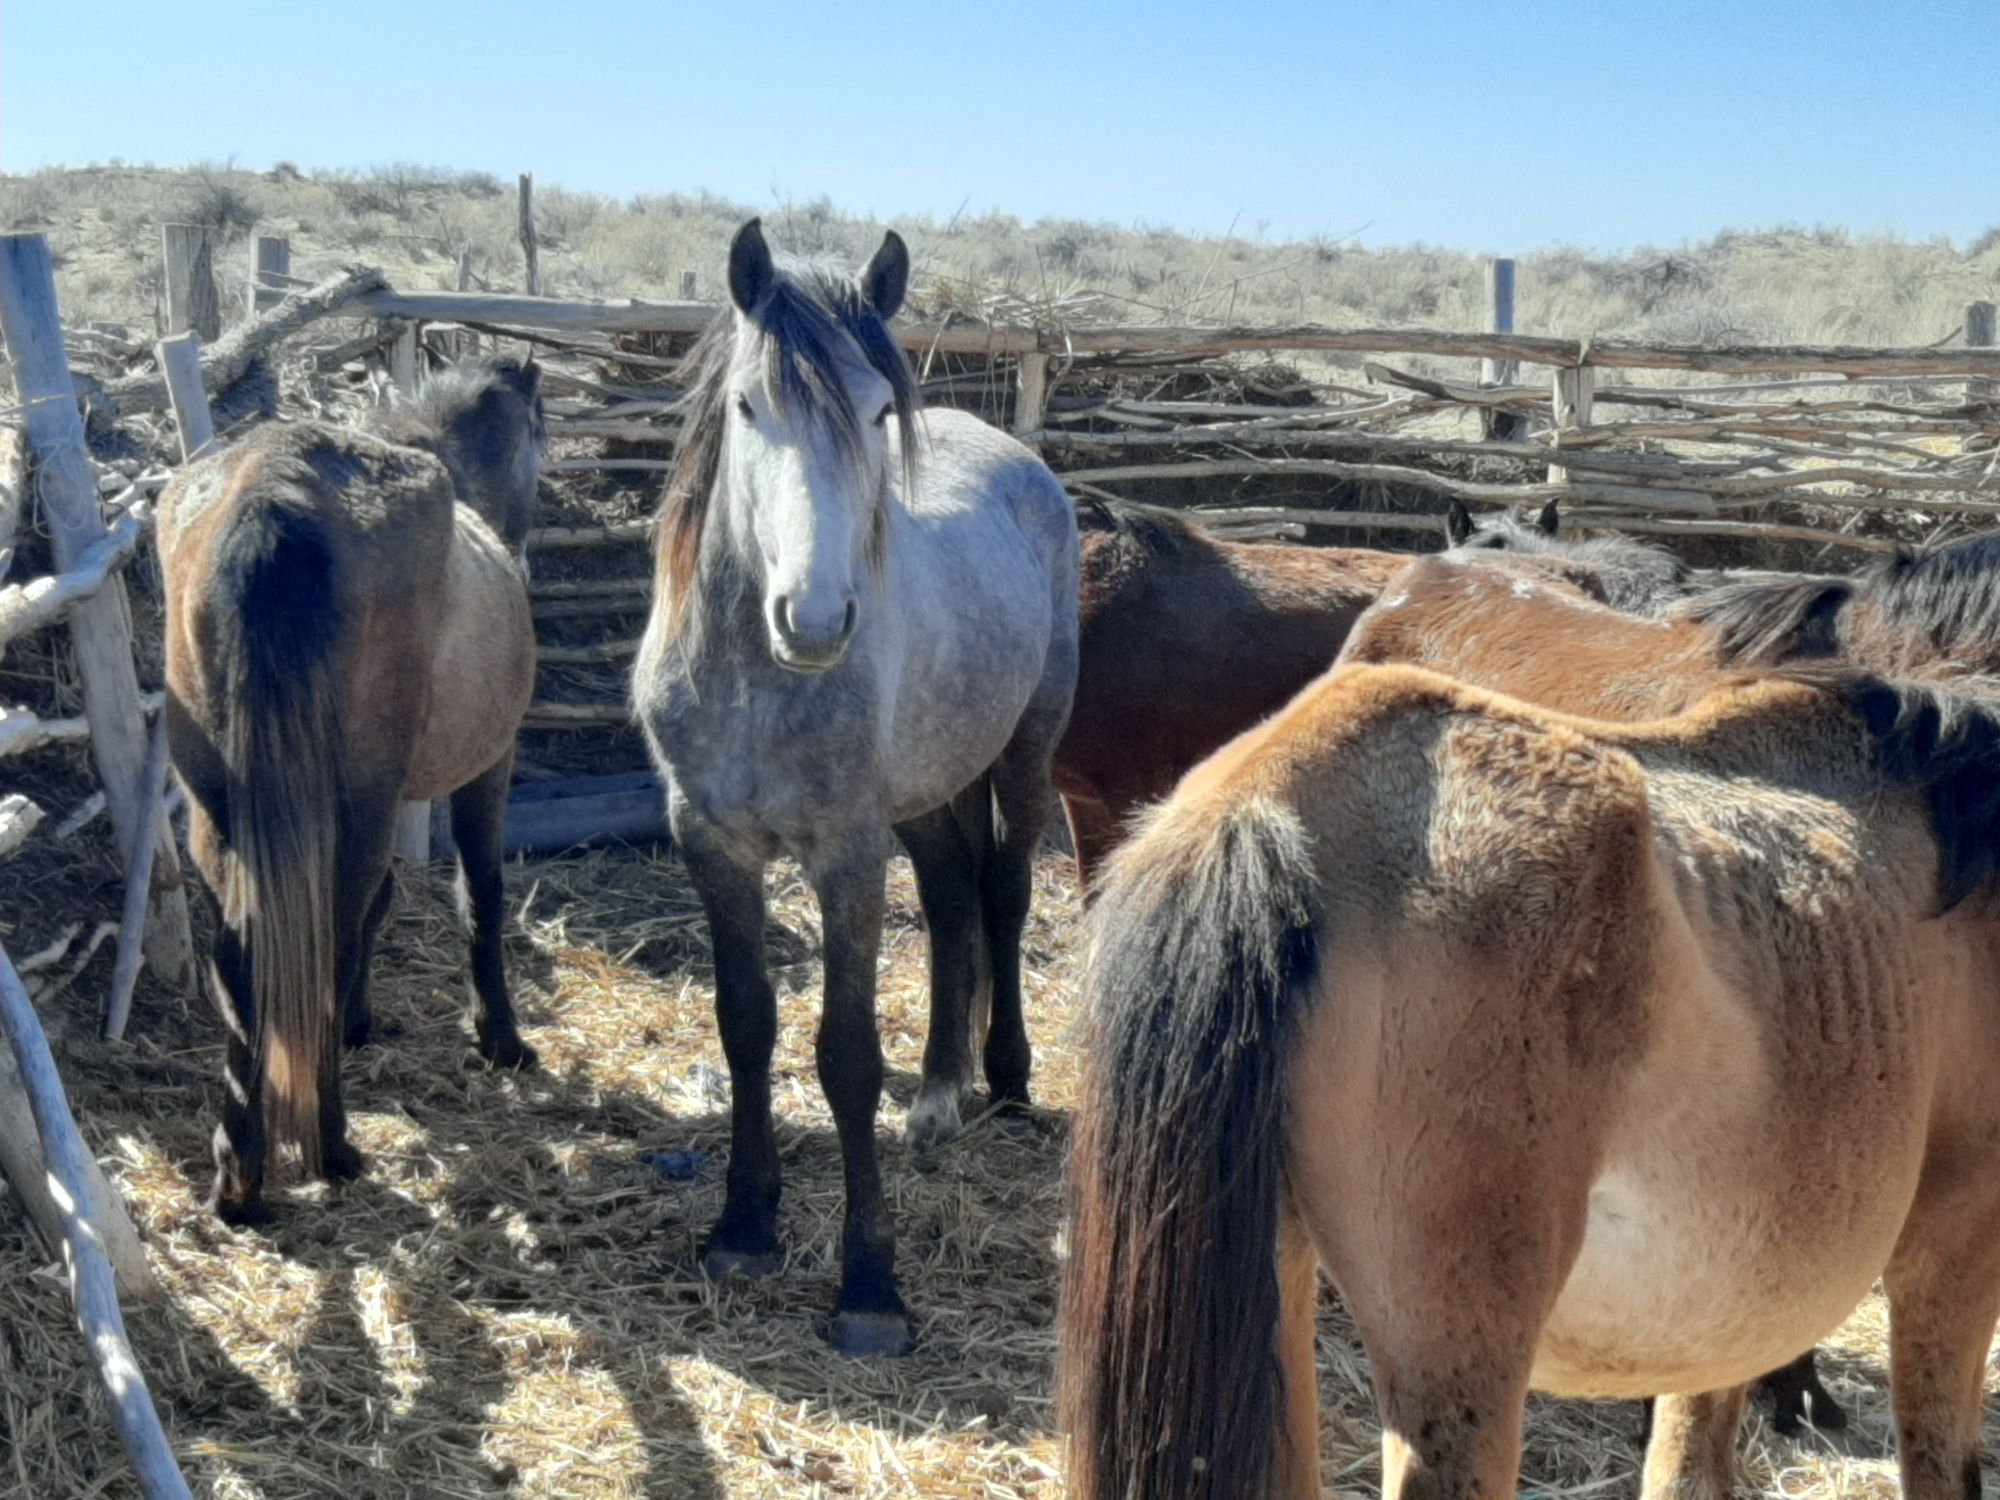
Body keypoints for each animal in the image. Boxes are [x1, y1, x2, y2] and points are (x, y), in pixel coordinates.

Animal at [161, 358, 548, 1224]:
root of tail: (272, 493)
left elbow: (381, 906)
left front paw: (361, 1024)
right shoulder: (485, 768)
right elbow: (479, 896)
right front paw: (500, 1039)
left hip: (217, 814)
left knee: (241, 962)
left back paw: (239, 1175)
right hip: (360, 804)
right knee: (323, 942)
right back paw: (331, 1147)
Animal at [636, 226, 1080, 1360]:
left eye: (880, 409)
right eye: (750, 405)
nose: (816, 618)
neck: (757, 682)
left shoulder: (844, 854)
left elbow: (843, 1055)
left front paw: (868, 1289)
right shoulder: (710, 842)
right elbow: (744, 1024)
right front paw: (743, 1231)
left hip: (1024, 751)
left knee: (1002, 896)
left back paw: (1005, 1078)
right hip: (925, 793)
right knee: (952, 898)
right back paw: (937, 1094)